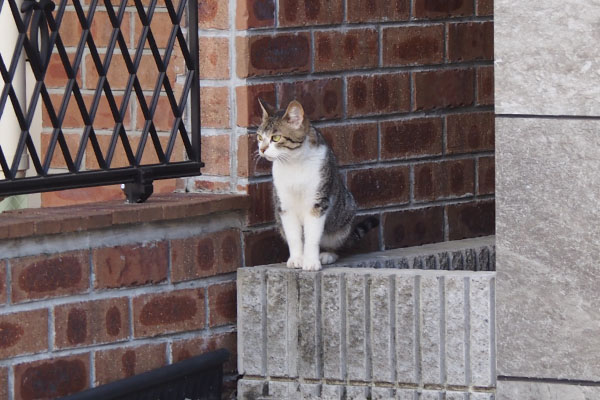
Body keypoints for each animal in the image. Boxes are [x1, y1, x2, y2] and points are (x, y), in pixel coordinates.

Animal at [255, 98, 378, 270]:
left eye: (276, 138)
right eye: (259, 137)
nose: (262, 149)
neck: (294, 163)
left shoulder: (317, 202)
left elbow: (312, 236)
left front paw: (311, 262)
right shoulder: (284, 205)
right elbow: (294, 236)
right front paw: (297, 259)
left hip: (345, 215)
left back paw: (327, 255)